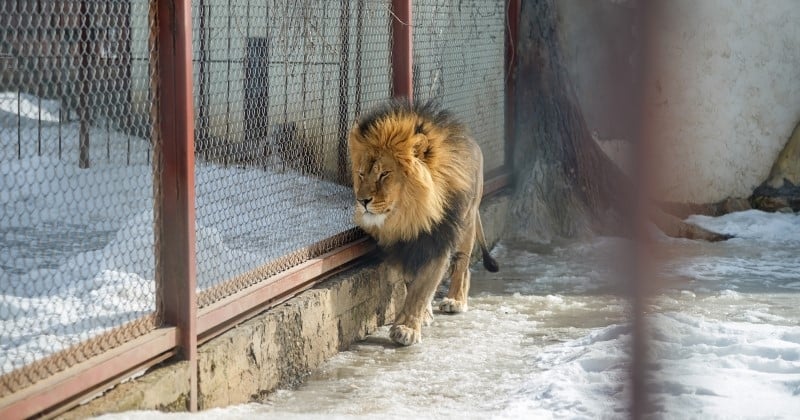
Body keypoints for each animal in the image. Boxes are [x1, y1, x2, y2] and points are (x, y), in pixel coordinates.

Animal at [346, 100, 496, 346]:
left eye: (384, 174)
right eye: (361, 174)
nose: (362, 201)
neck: (411, 215)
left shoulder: (439, 242)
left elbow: (422, 288)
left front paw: (406, 328)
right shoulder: (404, 245)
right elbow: (412, 284)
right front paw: (423, 315)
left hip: (467, 222)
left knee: (463, 265)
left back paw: (456, 300)